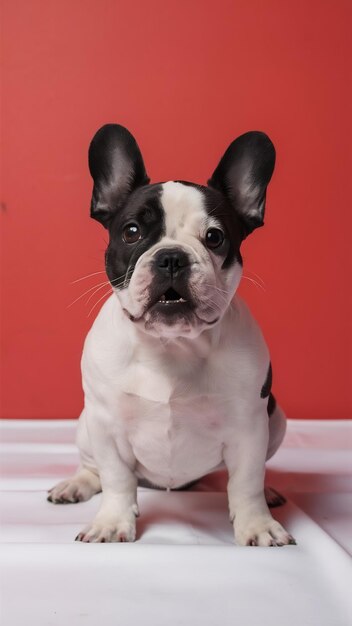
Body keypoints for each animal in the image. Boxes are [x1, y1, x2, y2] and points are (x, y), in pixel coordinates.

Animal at [47, 120, 294, 540]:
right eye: (131, 231)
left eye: (215, 237)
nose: (172, 257)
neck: (171, 344)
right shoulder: (106, 425)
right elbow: (116, 478)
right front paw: (112, 522)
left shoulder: (250, 428)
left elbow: (245, 481)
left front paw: (257, 525)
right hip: (85, 424)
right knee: (93, 467)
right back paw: (76, 484)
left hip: (274, 418)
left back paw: (269, 490)